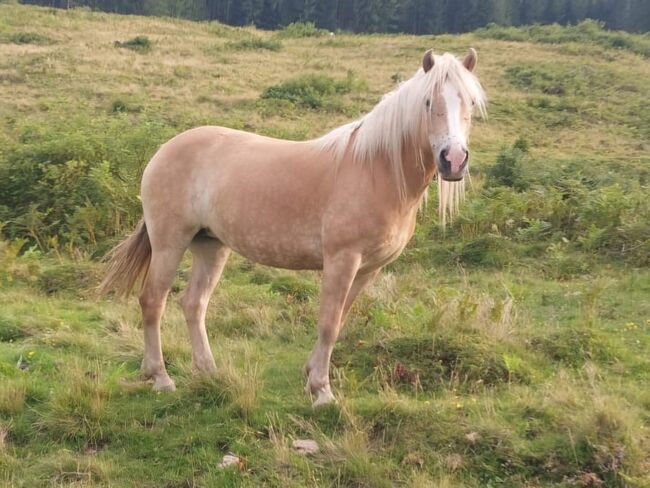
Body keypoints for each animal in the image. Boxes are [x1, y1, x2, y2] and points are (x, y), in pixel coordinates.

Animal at [101, 48, 484, 408]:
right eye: (428, 101)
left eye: (470, 102)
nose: (453, 160)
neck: (376, 170)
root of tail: (164, 149)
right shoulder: (342, 260)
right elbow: (328, 323)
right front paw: (322, 392)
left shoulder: (368, 269)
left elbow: (340, 320)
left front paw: (311, 375)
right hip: (170, 242)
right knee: (153, 301)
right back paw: (160, 377)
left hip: (211, 245)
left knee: (194, 304)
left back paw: (209, 372)